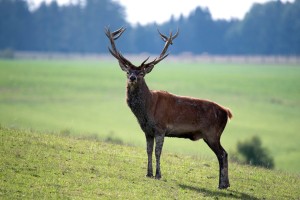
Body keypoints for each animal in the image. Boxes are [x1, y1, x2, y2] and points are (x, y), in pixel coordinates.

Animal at [105, 26, 232, 189]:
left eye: (142, 73)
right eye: (128, 72)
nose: (133, 78)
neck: (147, 110)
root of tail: (227, 112)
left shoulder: (161, 128)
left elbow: (158, 152)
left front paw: (158, 175)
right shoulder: (147, 131)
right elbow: (148, 151)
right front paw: (148, 173)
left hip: (212, 133)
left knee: (222, 154)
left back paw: (222, 184)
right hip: (212, 134)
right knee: (224, 153)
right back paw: (225, 184)